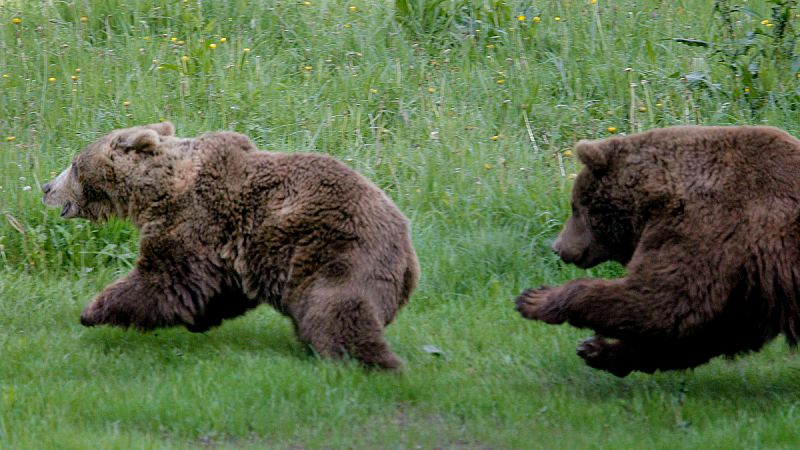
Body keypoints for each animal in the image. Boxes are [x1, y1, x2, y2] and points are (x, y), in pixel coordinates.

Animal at [42, 122, 419, 370]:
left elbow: (165, 280)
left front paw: (93, 310)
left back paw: (370, 362)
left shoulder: (196, 218)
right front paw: (200, 320)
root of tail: (408, 253)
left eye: (74, 164)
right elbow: (215, 290)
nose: (46, 187)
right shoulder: (228, 253)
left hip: (338, 252)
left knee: (338, 310)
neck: (154, 191)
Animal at [515, 125, 800, 377]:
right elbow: (712, 331)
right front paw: (598, 350)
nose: (558, 246)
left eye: (575, 206)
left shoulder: (709, 228)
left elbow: (664, 300)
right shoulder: (748, 282)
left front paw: (534, 299)